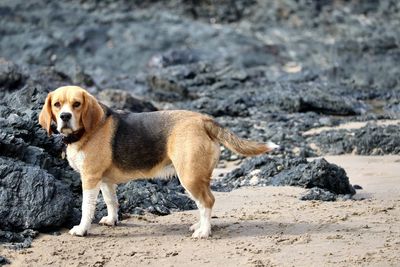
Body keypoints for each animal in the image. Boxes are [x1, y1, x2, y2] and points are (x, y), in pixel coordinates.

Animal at [39, 86, 278, 239]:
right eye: (57, 104)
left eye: (77, 104)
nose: (65, 116)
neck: (85, 132)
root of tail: (203, 120)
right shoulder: (104, 180)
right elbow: (111, 201)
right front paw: (112, 219)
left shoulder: (89, 178)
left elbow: (86, 208)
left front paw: (81, 229)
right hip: (197, 177)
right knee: (204, 203)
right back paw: (200, 225)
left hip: (189, 177)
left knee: (207, 201)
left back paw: (204, 232)